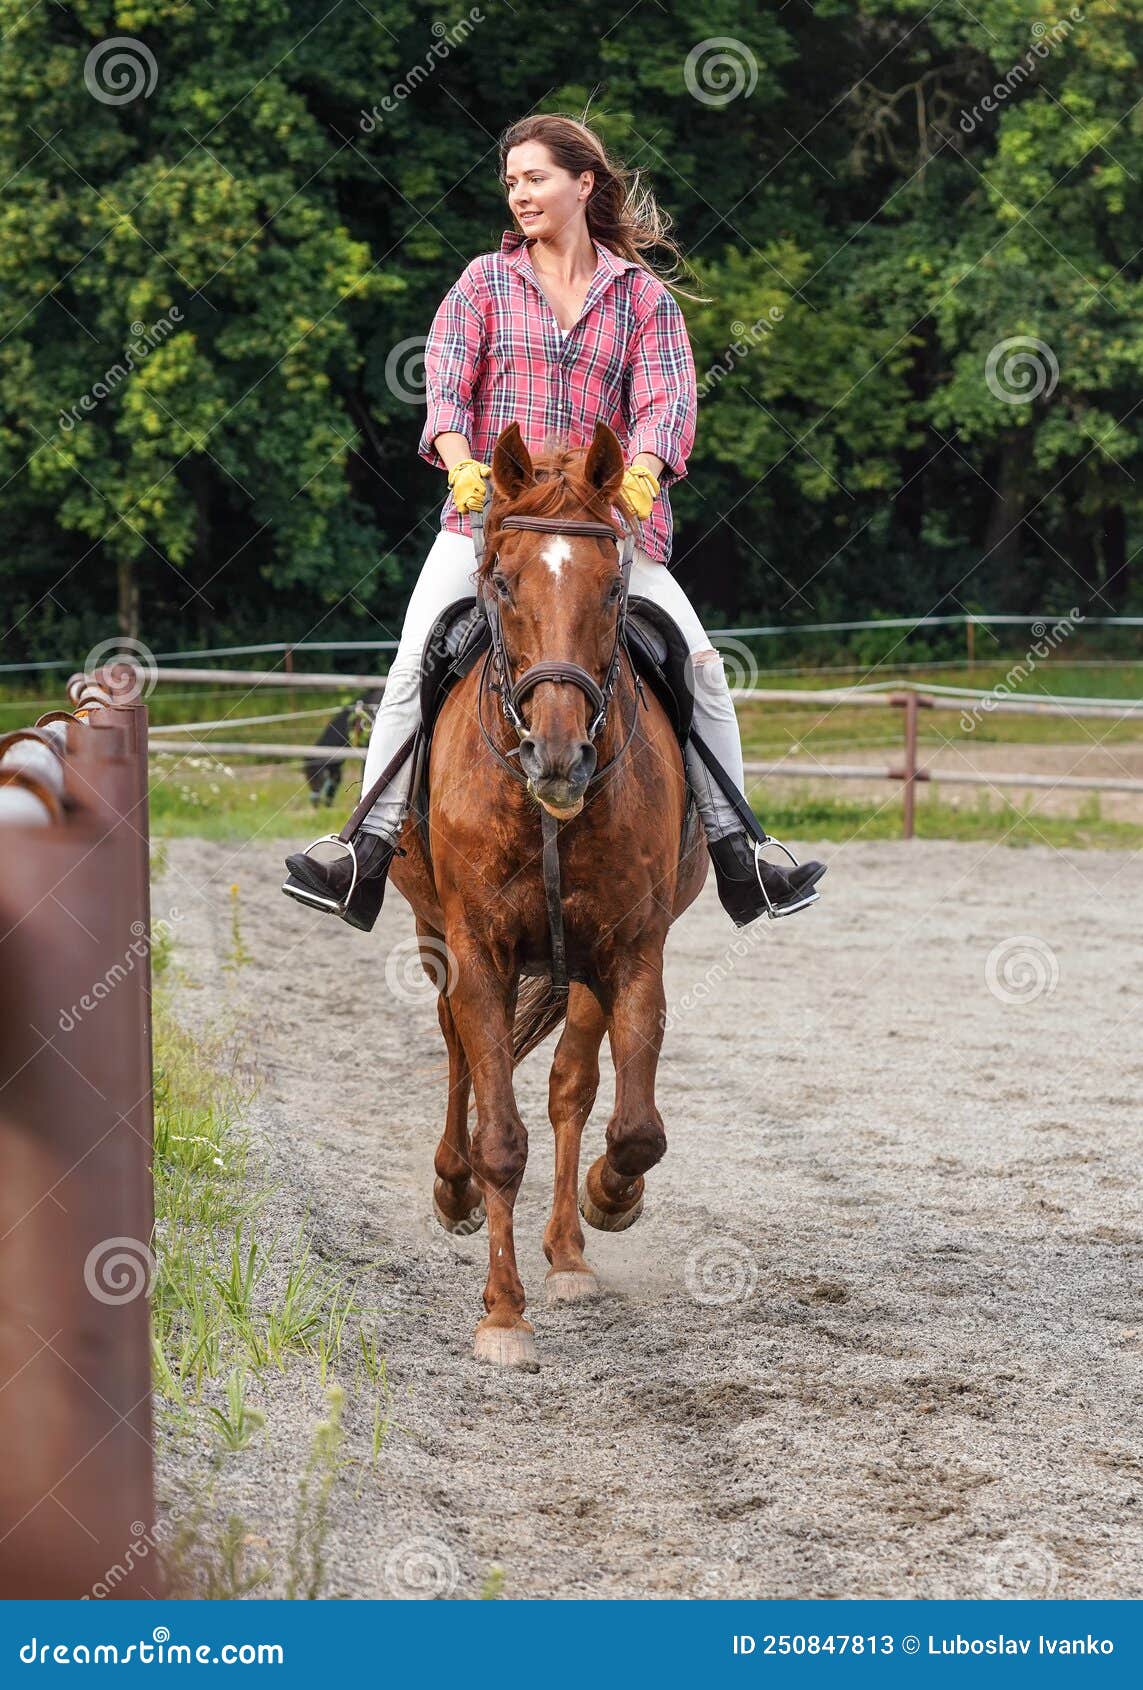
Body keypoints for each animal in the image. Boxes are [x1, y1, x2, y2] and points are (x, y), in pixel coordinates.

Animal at [390, 422, 706, 1372]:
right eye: (502, 583)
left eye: (613, 590)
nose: (557, 756)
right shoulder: (477, 953)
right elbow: (499, 1136)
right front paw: (501, 1315)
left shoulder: (631, 952)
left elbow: (634, 1125)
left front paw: (612, 1198)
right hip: (436, 940)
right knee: (458, 1056)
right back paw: (452, 1189)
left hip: (580, 970)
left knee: (572, 1087)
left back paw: (568, 1252)